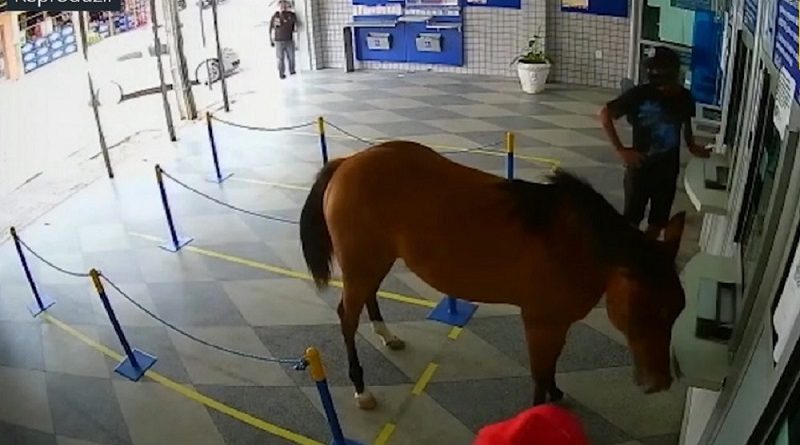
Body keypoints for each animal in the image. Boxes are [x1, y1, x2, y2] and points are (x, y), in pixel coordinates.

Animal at [299, 141, 686, 409]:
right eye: (649, 310)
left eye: (678, 310)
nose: (661, 382)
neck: (574, 241)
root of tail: (347, 163)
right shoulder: (540, 322)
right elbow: (539, 373)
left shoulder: (557, 322)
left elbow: (551, 365)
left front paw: (556, 392)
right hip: (360, 264)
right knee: (347, 318)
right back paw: (361, 389)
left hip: (374, 261)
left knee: (368, 296)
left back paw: (387, 335)